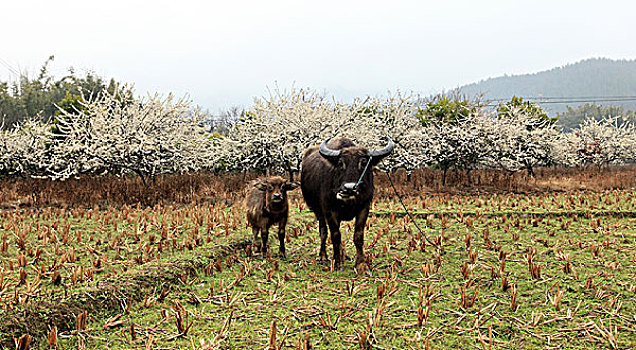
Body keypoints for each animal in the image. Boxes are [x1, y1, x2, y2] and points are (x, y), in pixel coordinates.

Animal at [300, 137, 392, 270]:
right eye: (340, 163)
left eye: (363, 162)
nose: (349, 188)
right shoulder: (330, 210)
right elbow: (335, 236)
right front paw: (337, 263)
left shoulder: (364, 207)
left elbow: (358, 236)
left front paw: (361, 264)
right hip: (318, 211)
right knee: (323, 231)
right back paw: (323, 256)